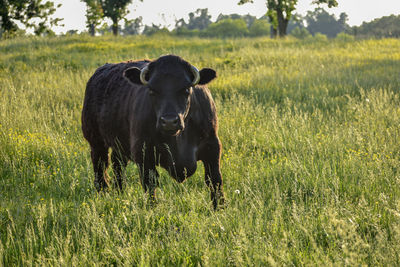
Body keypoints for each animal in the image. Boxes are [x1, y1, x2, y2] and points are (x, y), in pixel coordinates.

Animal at [81, 54, 225, 209]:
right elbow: (150, 182)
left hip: (119, 144)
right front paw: (152, 208)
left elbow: (214, 180)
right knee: (100, 166)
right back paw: (103, 192)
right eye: (151, 90)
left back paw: (120, 191)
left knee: (117, 164)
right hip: (96, 142)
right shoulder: (143, 153)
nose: (169, 121)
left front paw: (220, 208)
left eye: (186, 89)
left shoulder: (212, 147)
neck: (178, 140)